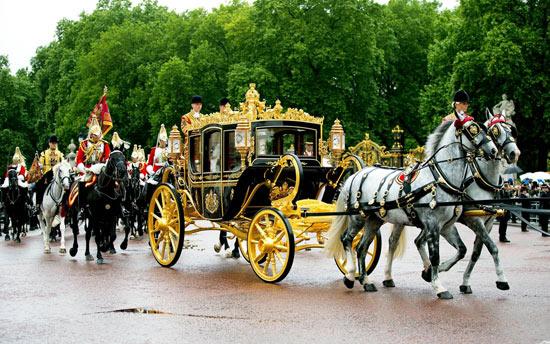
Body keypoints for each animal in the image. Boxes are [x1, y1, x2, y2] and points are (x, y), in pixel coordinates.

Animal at [328, 115, 500, 298]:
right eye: (472, 129)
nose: (493, 151)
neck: (440, 179)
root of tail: (355, 174)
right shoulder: (433, 224)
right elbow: (435, 256)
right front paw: (439, 287)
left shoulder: (447, 225)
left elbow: (461, 250)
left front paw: (430, 274)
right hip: (357, 217)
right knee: (347, 239)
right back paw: (350, 275)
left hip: (374, 220)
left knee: (361, 247)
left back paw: (366, 281)